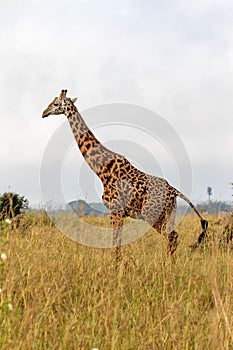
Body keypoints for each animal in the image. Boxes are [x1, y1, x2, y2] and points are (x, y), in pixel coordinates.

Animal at [42, 89, 208, 260]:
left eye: (56, 103)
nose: (44, 113)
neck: (101, 169)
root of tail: (174, 191)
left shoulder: (115, 210)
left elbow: (115, 244)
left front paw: (115, 265)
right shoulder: (119, 213)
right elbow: (118, 243)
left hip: (152, 215)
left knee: (173, 236)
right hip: (169, 213)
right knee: (173, 236)